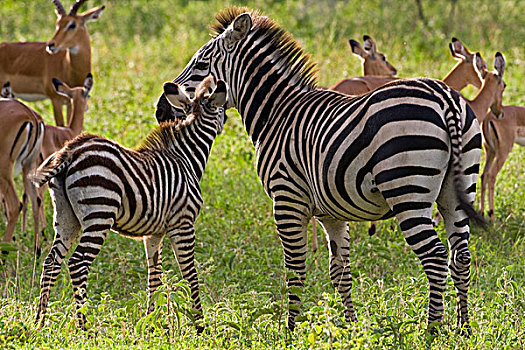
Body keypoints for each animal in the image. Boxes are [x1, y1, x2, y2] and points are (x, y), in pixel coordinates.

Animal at [32, 76, 227, 330]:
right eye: (221, 110)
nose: (226, 121)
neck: (186, 159)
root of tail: (69, 153)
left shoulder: (154, 233)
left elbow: (155, 275)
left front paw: (151, 322)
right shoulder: (183, 224)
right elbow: (189, 274)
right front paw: (200, 325)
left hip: (66, 218)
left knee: (51, 262)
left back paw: (40, 321)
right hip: (99, 214)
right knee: (77, 263)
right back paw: (85, 328)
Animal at [156, 6, 484, 334]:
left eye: (200, 65)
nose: (160, 110)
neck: (277, 113)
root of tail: (446, 100)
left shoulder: (287, 199)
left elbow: (295, 270)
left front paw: (290, 330)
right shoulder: (332, 212)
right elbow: (340, 272)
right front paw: (351, 329)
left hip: (408, 192)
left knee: (436, 257)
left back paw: (432, 331)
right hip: (456, 192)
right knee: (461, 257)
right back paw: (463, 328)